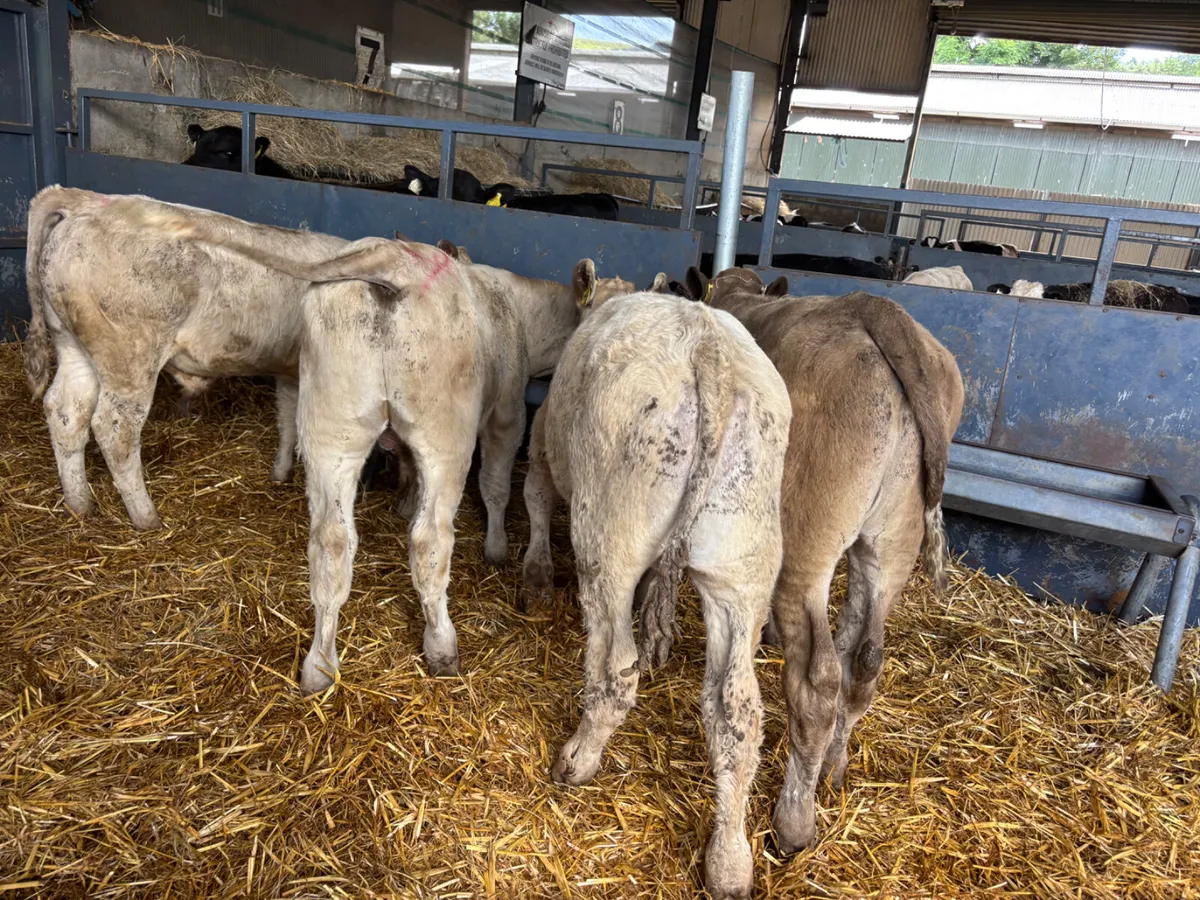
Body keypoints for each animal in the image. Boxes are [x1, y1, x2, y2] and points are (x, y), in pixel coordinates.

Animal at [520, 290, 792, 900]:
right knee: (738, 710)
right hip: (742, 564)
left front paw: (535, 574)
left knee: (616, 670)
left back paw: (577, 760)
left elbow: (535, 499)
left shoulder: (543, 446)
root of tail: (708, 349)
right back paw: (729, 861)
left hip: (609, 536)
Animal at [675, 266, 963, 856]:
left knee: (819, 681)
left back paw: (794, 820)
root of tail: (874, 309)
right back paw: (834, 766)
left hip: (803, 547)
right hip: (888, 544)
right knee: (865, 657)